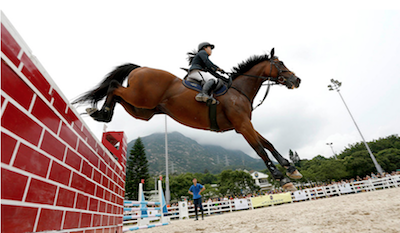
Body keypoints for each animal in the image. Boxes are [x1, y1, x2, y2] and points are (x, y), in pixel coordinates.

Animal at [73, 47, 302, 191]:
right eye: (281, 63)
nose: (297, 80)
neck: (239, 90)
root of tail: (141, 68)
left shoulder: (244, 125)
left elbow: (268, 143)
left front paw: (291, 169)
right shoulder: (243, 125)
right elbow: (260, 149)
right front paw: (282, 178)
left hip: (143, 110)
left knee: (118, 95)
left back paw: (102, 113)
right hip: (140, 98)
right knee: (114, 86)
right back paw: (101, 112)